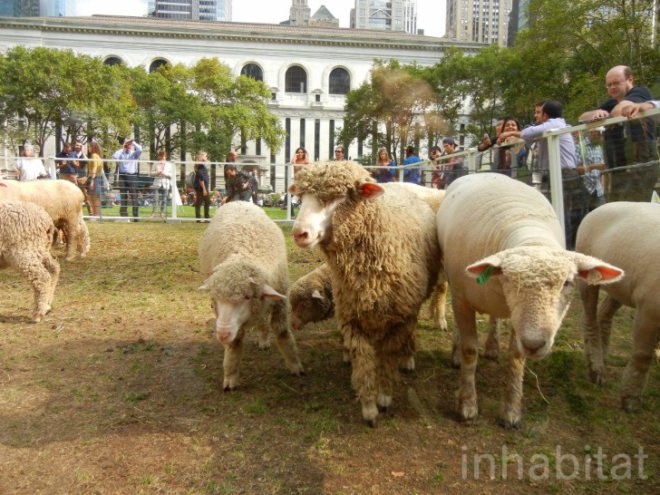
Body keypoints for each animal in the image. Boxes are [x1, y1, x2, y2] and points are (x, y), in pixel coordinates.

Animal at [198, 201, 303, 391]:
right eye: (214, 301)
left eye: (247, 297)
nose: (222, 335)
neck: (244, 253)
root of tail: (237, 201)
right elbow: (235, 343)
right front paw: (230, 376)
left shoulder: (280, 300)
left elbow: (282, 332)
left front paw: (295, 365)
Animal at [290, 160, 440, 426]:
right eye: (301, 197)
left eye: (337, 196)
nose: (299, 233)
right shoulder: (352, 319)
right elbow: (363, 363)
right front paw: (369, 407)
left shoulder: (399, 319)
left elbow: (388, 358)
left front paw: (384, 396)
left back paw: (408, 358)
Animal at [436, 173, 624, 428]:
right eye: (509, 278)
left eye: (567, 282)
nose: (535, 344)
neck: (532, 238)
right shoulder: (463, 300)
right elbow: (469, 350)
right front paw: (467, 404)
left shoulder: (520, 319)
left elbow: (516, 357)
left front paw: (511, 411)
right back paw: (457, 355)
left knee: (495, 318)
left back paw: (492, 347)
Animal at [575, 202, 659, 412]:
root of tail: (602, 206)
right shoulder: (649, 308)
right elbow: (642, 355)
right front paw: (630, 400)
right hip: (589, 275)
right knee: (589, 319)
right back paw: (596, 369)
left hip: (620, 285)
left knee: (603, 314)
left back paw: (601, 354)